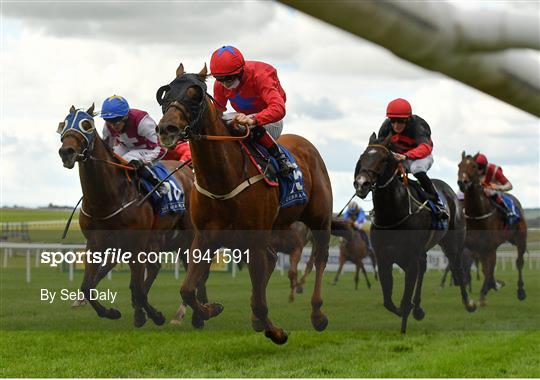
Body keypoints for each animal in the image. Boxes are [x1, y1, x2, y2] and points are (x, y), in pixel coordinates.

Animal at [58, 103, 196, 326]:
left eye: (87, 125)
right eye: (64, 123)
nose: (66, 152)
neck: (106, 198)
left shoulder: (136, 243)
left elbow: (137, 288)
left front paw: (152, 315)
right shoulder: (96, 243)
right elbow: (88, 286)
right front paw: (111, 312)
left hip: (187, 235)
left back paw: (189, 313)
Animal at [155, 63, 334, 344]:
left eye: (195, 95)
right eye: (167, 92)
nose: (167, 128)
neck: (223, 179)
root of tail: (306, 144)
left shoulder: (253, 237)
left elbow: (260, 300)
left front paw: (276, 331)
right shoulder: (204, 237)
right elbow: (187, 289)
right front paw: (210, 309)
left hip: (319, 219)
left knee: (319, 258)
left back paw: (317, 315)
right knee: (272, 260)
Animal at [354, 133, 476, 332]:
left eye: (383, 159)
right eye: (363, 157)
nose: (361, 183)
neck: (393, 214)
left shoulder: (411, 258)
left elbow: (405, 298)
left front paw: (405, 319)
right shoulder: (383, 257)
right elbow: (388, 300)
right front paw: (408, 310)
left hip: (453, 244)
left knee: (457, 269)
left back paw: (469, 303)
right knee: (424, 269)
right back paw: (418, 308)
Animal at [456, 151, 528, 306]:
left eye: (474, 165)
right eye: (459, 165)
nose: (462, 183)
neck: (477, 215)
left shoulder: (490, 247)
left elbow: (489, 271)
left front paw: (484, 294)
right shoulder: (475, 247)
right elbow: (483, 270)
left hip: (520, 239)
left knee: (519, 263)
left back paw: (520, 291)